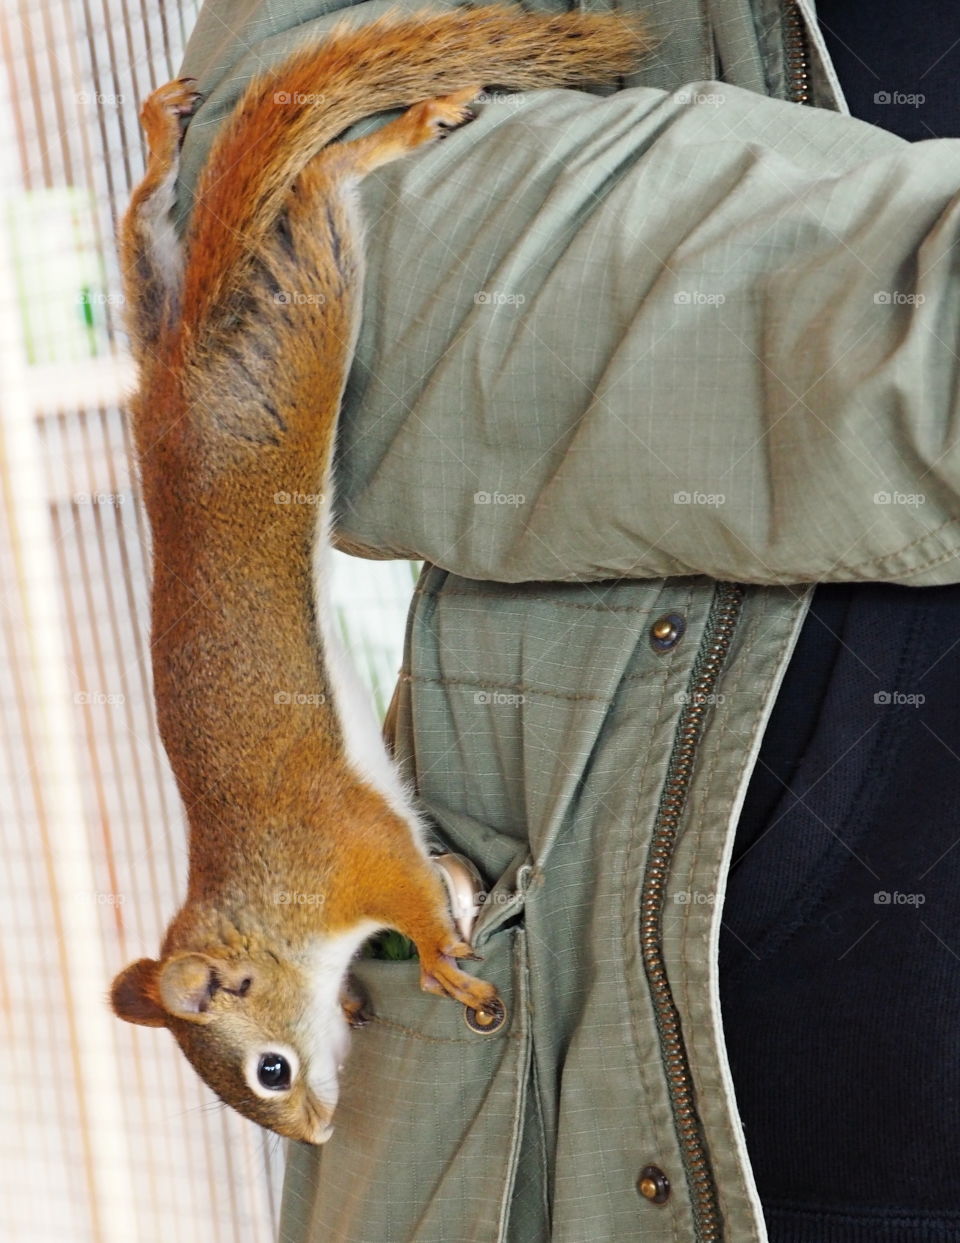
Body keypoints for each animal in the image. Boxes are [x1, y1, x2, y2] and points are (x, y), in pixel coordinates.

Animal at [108, 4, 648, 1144]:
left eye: (267, 1070)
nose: (315, 1132)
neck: (264, 906)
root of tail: (178, 395)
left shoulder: (349, 846)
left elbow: (406, 890)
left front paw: (442, 958)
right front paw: (409, 950)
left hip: (304, 318)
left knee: (320, 186)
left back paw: (395, 133)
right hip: (174, 304)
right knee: (143, 231)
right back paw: (160, 145)